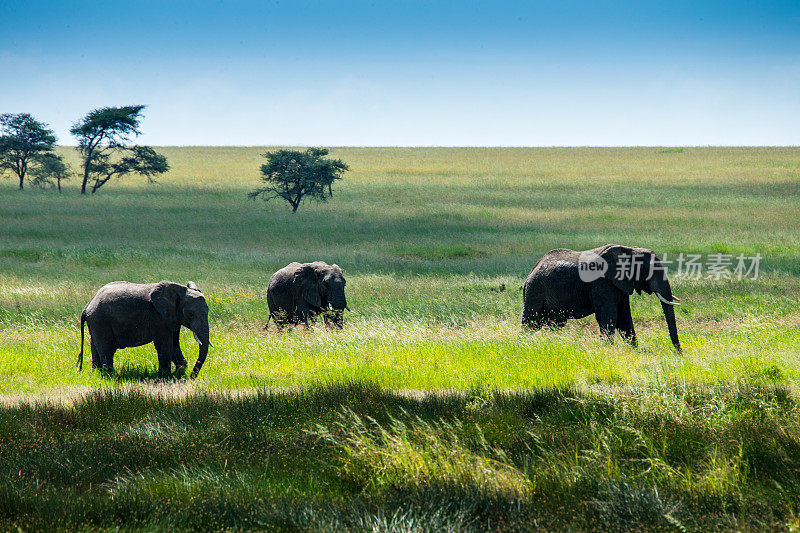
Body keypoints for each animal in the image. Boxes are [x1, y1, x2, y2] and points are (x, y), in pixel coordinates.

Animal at [78, 280, 212, 376]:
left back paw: (97, 374)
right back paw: (111, 376)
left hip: (95, 322)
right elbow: (165, 345)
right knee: (106, 349)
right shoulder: (157, 316)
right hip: (100, 320)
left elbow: (174, 344)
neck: (179, 291)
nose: (191, 377)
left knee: (95, 347)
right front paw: (165, 376)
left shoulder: (172, 317)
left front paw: (179, 371)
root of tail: (87, 306)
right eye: (190, 314)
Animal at [520, 243, 684, 352]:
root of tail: (530, 273)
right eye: (649, 270)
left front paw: (634, 350)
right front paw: (608, 350)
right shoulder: (601, 282)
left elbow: (624, 317)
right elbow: (609, 315)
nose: (679, 353)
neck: (629, 250)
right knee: (530, 321)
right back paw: (525, 342)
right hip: (535, 290)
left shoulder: (620, 284)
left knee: (554, 323)